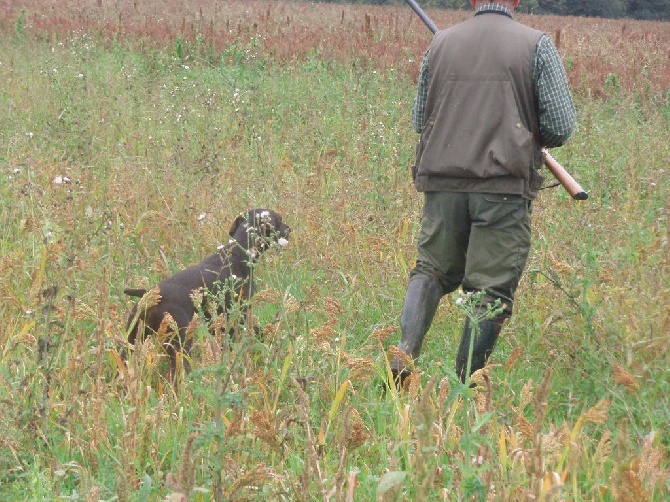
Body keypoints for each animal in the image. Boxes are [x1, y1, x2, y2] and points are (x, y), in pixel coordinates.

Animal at [124, 207, 290, 372]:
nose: (289, 229)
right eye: (279, 220)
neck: (236, 254)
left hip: (132, 341)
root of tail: (149, 297)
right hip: (180, 345)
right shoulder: (238, 317)